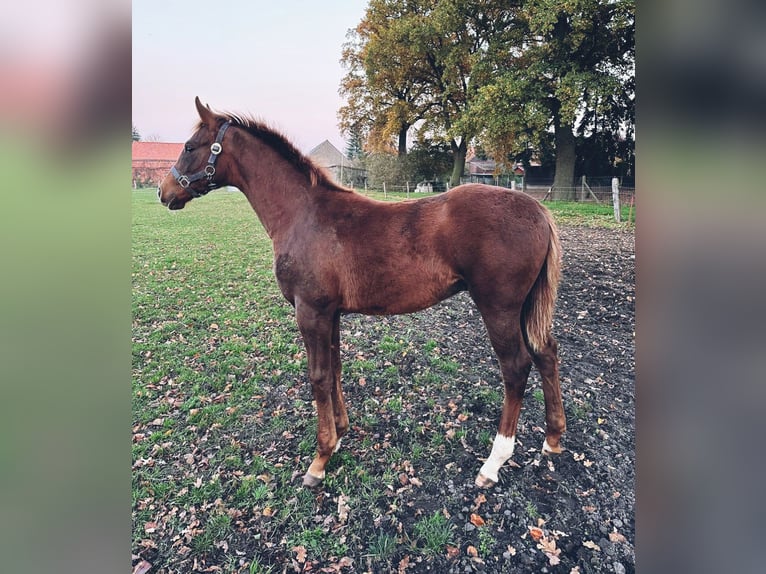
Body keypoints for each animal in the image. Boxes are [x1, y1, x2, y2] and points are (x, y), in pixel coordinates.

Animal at [158, 97, 566, 489]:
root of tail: (538, 209)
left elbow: (319, 376)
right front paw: (340, 433)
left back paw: (493, 464)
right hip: (524, 308)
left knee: (516, 368)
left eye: (190, 147)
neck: (303, 215)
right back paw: (552, 439)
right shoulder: (330, 313)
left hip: (499, 308)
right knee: (546, 353)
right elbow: (335, 369)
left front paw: (320, 459)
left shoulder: (310, 311)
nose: (165, 191)